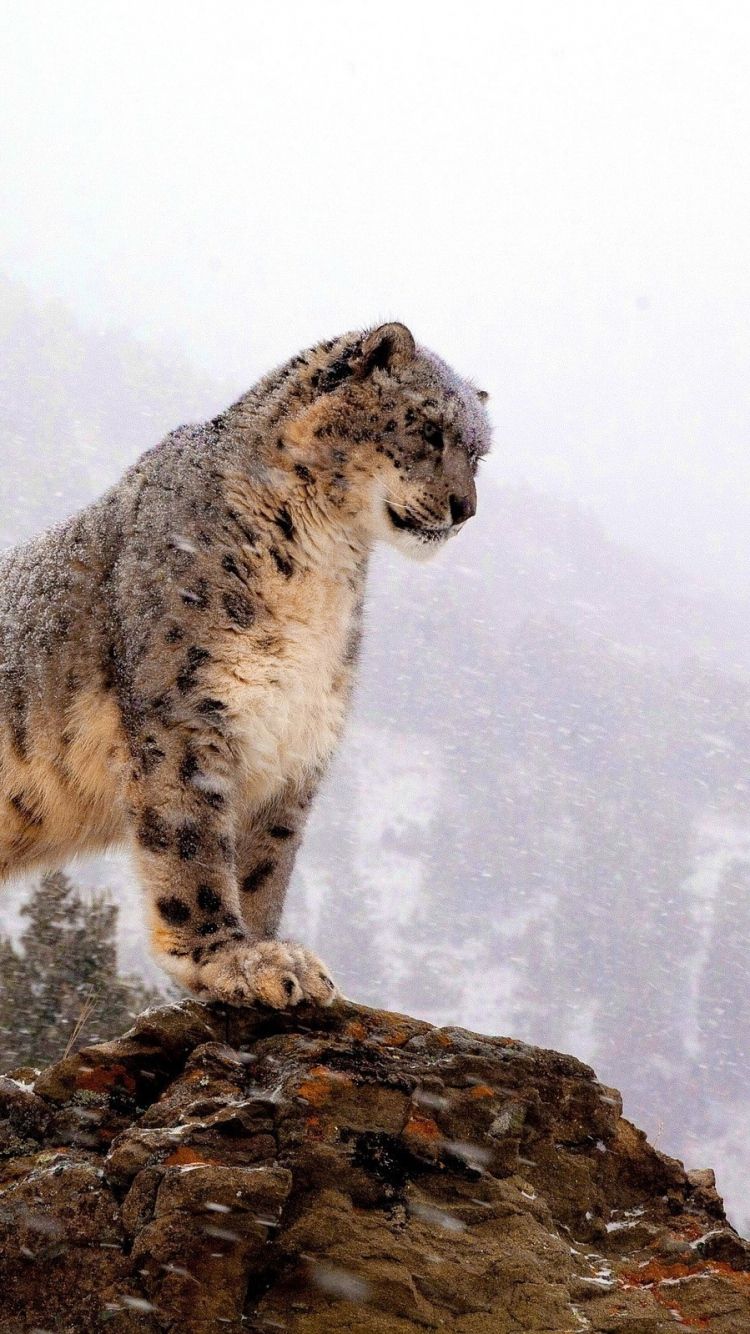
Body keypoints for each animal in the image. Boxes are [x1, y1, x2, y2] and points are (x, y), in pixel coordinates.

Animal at [0, 322, 490, 1007]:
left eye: (480, 454)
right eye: (428, 428)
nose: (465, 507)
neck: (324, 570)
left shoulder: (296, 739)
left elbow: (265, 864)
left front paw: (278, 954)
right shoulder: (186, 713)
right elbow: (193, 847)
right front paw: (233, 957)